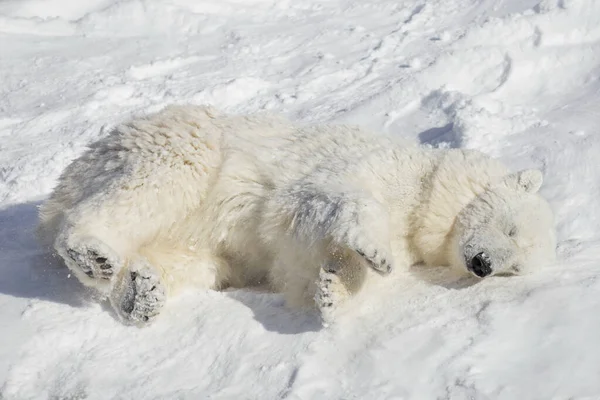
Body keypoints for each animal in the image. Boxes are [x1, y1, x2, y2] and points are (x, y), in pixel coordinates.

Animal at [37, 105, 556, 324]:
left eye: (513, 270)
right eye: (510, 227)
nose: (483, 265)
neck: (424, 187)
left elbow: (297, 260)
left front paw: (334, 291)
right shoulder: (367, 166)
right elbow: (322, 198)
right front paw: (375, 252)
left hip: (198, 246)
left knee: (196, 262)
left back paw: (139, 293)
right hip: (182, 142)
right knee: (156, 184)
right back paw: (91, 253)